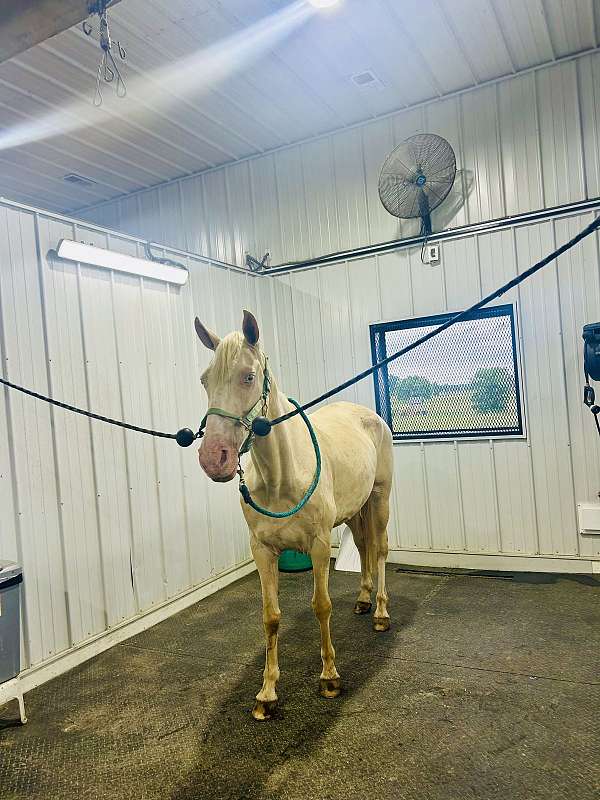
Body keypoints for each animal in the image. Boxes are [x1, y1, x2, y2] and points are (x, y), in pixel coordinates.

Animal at [194, 310, 393, 720]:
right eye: (205, 380)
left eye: (248, 376)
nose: (214, 458)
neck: (281, 476)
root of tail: (369, 416)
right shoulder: (262, 551)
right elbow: (270, 616)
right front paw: (267, 693)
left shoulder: (318, 545)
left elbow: (321, 605)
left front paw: (329, 677)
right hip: (355, 508)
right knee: (364, 547)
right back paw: (364, 599)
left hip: (380, 497)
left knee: (380, 549)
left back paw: (381, 613)